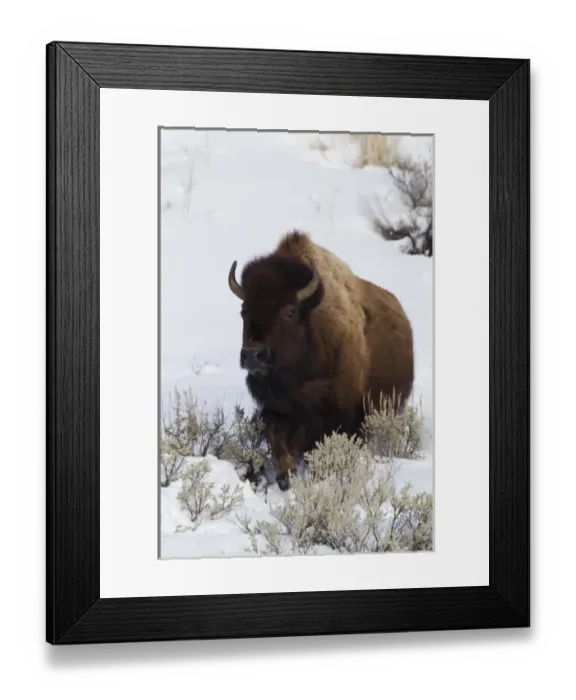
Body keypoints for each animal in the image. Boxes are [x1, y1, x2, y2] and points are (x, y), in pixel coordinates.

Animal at [227, 230, 414, 490]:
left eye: (290, 311)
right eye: (244, 310)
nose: (253, 355)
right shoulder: (276, 409)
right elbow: (279, 442)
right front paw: (284, 477)